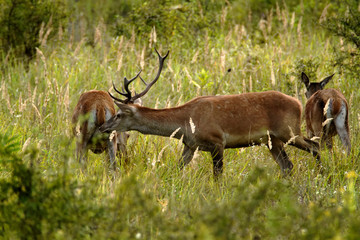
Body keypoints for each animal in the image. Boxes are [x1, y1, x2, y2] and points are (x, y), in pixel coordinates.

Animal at [99, 51, 320, 178]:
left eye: (119, 114)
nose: (102, 127)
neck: (185, 122)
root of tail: (298, 102)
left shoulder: (217, 142)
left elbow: (218, 176)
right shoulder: (190, 145)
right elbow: (177, 169)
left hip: (288, 130)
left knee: (314, 146)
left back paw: (321, 173)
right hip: (273, 140)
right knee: (287, 165)